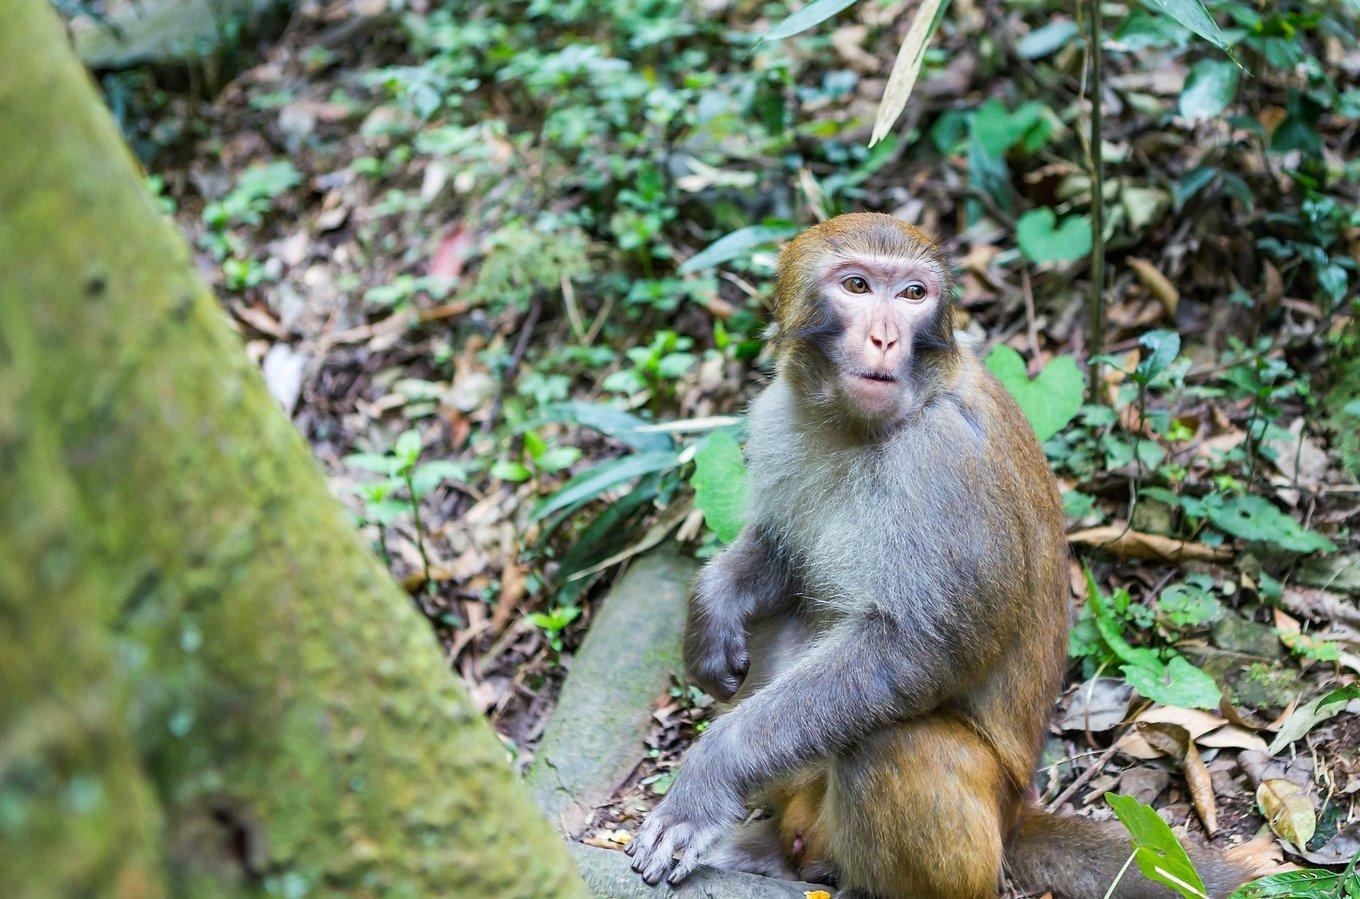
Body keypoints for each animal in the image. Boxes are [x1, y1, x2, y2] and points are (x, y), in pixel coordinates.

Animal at [625, 212, 1245, 897]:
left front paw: (705, 779)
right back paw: (775, 851)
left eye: (913, 295)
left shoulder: (946, 462)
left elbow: (918, 647)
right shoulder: (779, 418)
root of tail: (1016, 815)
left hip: (975, 829)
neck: (860, 426)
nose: (885, 337)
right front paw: (710, 613)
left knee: (890, 743)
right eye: (858, 285)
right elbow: (781, 555)